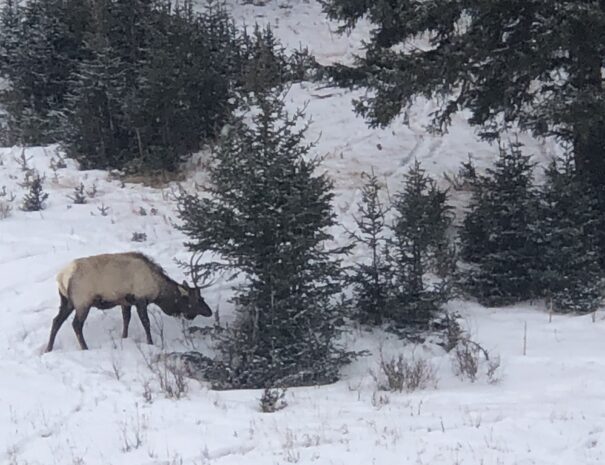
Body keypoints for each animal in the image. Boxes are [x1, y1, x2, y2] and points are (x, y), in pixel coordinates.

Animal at [44, 252, 211, 350]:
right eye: (197, 299)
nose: (209, 312)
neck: (157, 289)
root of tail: (61, 277)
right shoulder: (140, 299)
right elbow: (146, 323)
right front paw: (151, 343)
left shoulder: (126, 302)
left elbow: (126, 320)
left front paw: (124, 338)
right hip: (82, 302)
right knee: (76, 325)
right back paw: (85, 348)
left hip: (67, 302)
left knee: (56, 321)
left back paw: (49, 348)